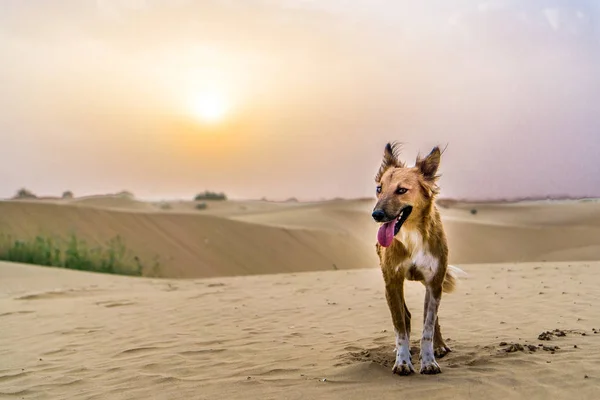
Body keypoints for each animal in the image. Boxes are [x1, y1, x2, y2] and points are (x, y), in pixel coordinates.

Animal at [370, 143, 464, 376]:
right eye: (379, 188)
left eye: (401, 190)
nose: (376, 214)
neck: (411, 235)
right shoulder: (392, 283)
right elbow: (400, 327)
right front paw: (402, 361)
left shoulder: (434, 282)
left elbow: (428, 327)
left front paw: (429, 360)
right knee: (406, 316)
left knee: (432, 319)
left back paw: (439, 346)